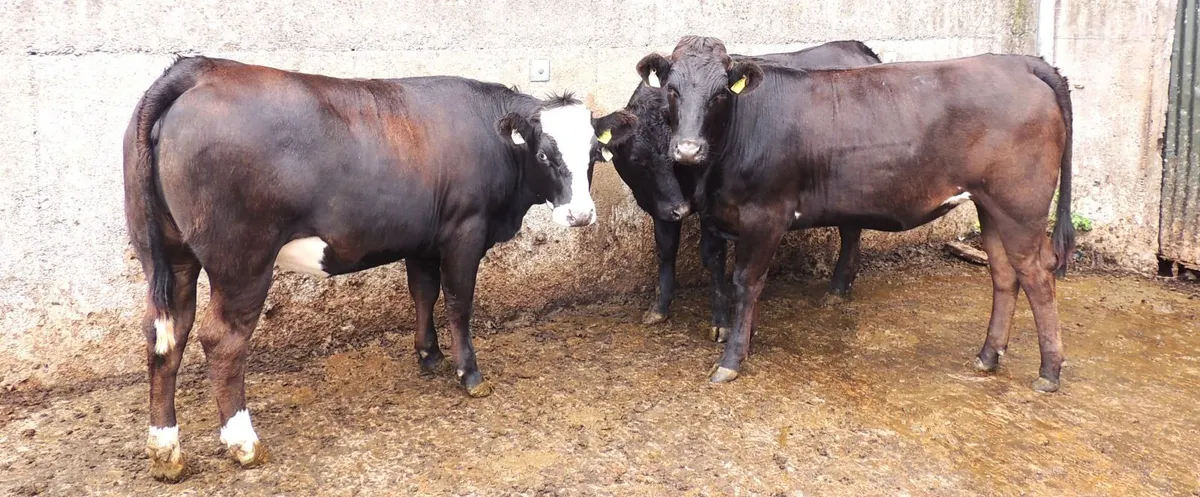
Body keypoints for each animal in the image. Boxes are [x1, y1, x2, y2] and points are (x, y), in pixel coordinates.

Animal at [124, 56, 636, 481]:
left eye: (594, 156)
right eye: (545, 154)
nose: (581, 216)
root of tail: (199, 68)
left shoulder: (423, 238)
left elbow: (423, 292)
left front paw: (429, 355)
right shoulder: (465, 231)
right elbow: (458, 302)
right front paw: (468, 374)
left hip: (168, 256)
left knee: (166, 334)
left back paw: (165, 451)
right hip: (243, 262)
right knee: (221, 340)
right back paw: (243, 443)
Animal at [603, 41, 881, 343]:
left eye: (672, 160)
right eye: (638, 159)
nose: (681, 209)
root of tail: (857, 47)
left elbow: (713, 257)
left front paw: (721, 321)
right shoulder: (662, 205)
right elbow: (665, 248)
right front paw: (659, 307)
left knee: (850, 233)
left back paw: (837, 289)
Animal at [634, 36, 1074, 393]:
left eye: (720, 94)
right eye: (672, 90)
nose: (687, 150)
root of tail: (1020, 62)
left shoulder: (765, 216)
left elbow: (746, 282)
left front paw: (731, 358)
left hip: (1020, 206)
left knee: (1037, 276)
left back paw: (1049, 372)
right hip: (992, 207)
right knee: (1004, 275)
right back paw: (987, 355)